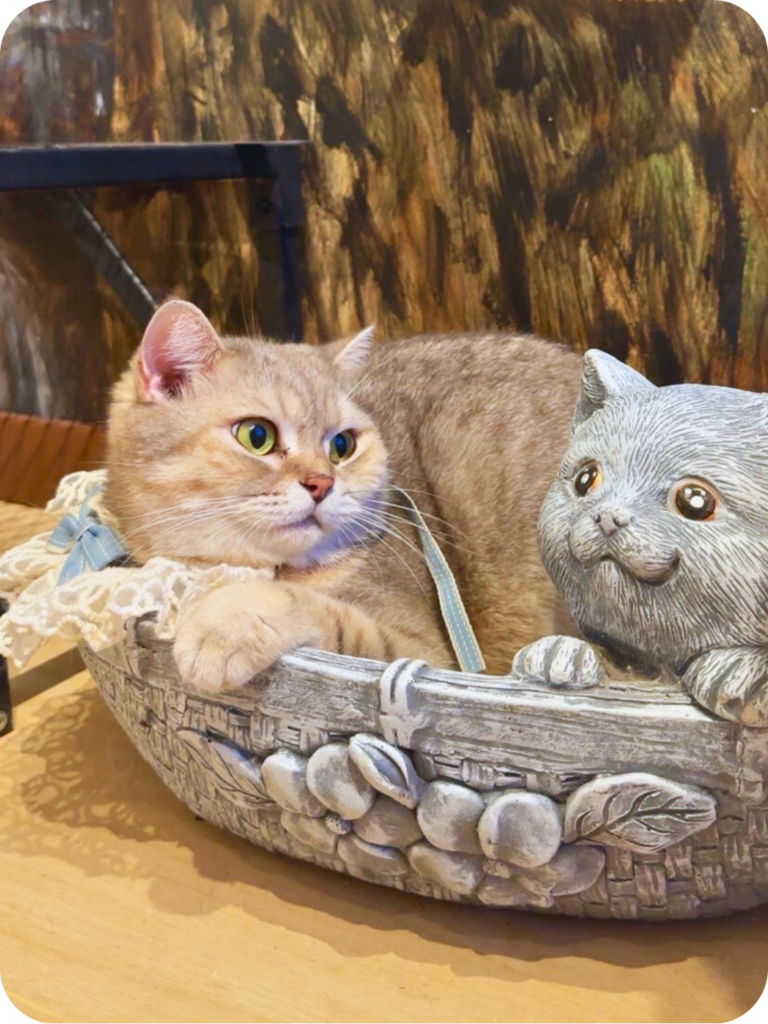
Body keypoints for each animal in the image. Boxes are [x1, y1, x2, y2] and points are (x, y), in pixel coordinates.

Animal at [105, 299, 582, 691]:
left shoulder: (429, 653)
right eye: (257, 436)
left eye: (341, 445)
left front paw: (225, 620)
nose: (321, 484)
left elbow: (317, 609)